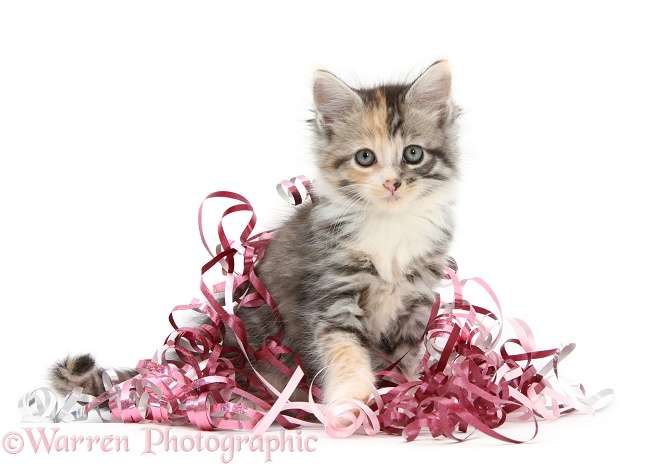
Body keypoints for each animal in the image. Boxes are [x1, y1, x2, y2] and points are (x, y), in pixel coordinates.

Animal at [50, 59, 458, 412]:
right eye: (365, 158)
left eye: (413, 154)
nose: (392, 184)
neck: (390, 225)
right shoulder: (332, 295)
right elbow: (346, 355)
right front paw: (350, 408)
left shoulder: (414, 305)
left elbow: (404, 361)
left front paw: (403, 398)